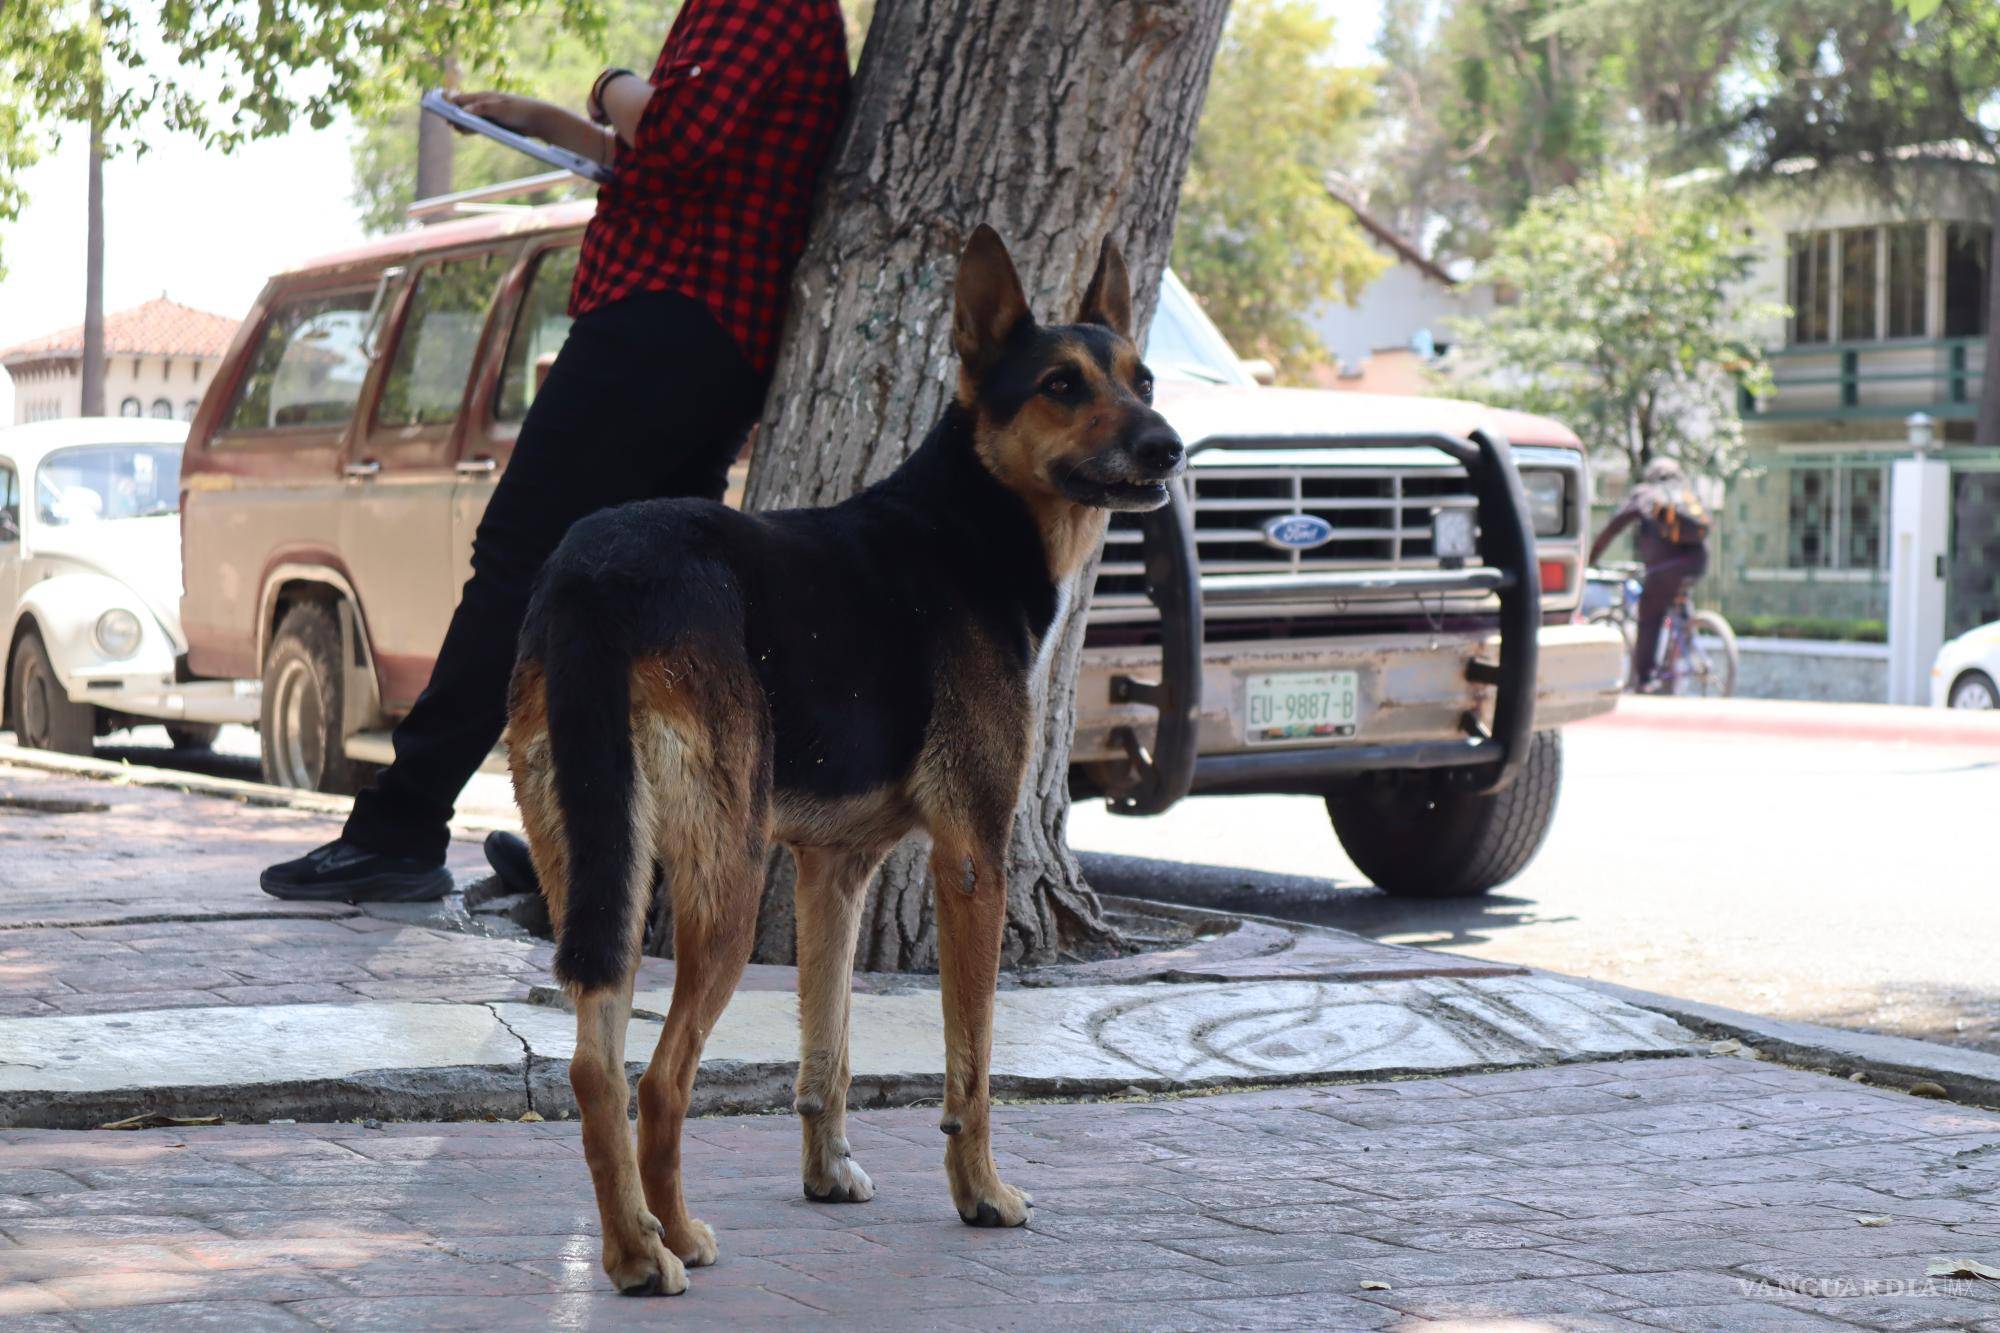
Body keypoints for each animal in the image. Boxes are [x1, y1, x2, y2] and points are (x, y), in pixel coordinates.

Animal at [504, 226, 1184, 1288]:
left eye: (1141, 377)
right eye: (1061, 386)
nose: (1167, 445)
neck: (977, 514)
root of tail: (592, 575)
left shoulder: (835, 869)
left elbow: (829, 1047)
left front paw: (827, 1171)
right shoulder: (974, 857)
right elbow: (972, 1061)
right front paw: (982, 1193)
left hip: (595, 852)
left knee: (595, 1062)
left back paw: (629, 1246)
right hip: (725, 874)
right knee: (661, 1080)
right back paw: (675, 1237)